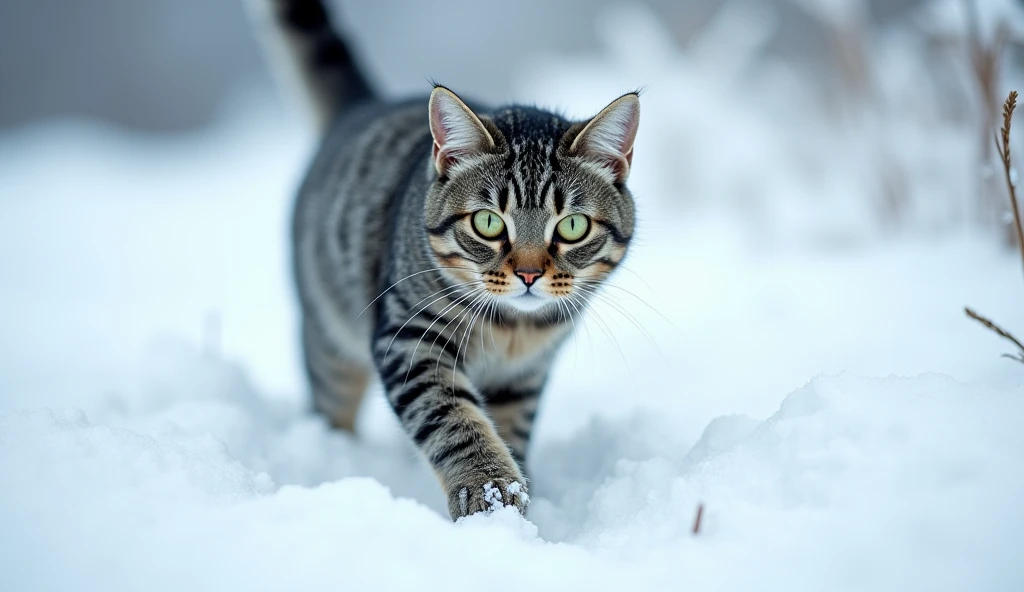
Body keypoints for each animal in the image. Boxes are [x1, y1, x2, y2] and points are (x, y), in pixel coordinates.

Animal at [258, 0, 638, 516]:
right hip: (330, 336)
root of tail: (364, 106)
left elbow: (510, 430)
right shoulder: (410, 339)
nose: (528, 273)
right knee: (330, 401)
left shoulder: (524, 376)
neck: (512, 331)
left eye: (573, 227)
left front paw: (519, 503)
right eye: (488, 222)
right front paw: (489, 490)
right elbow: (454, 419)